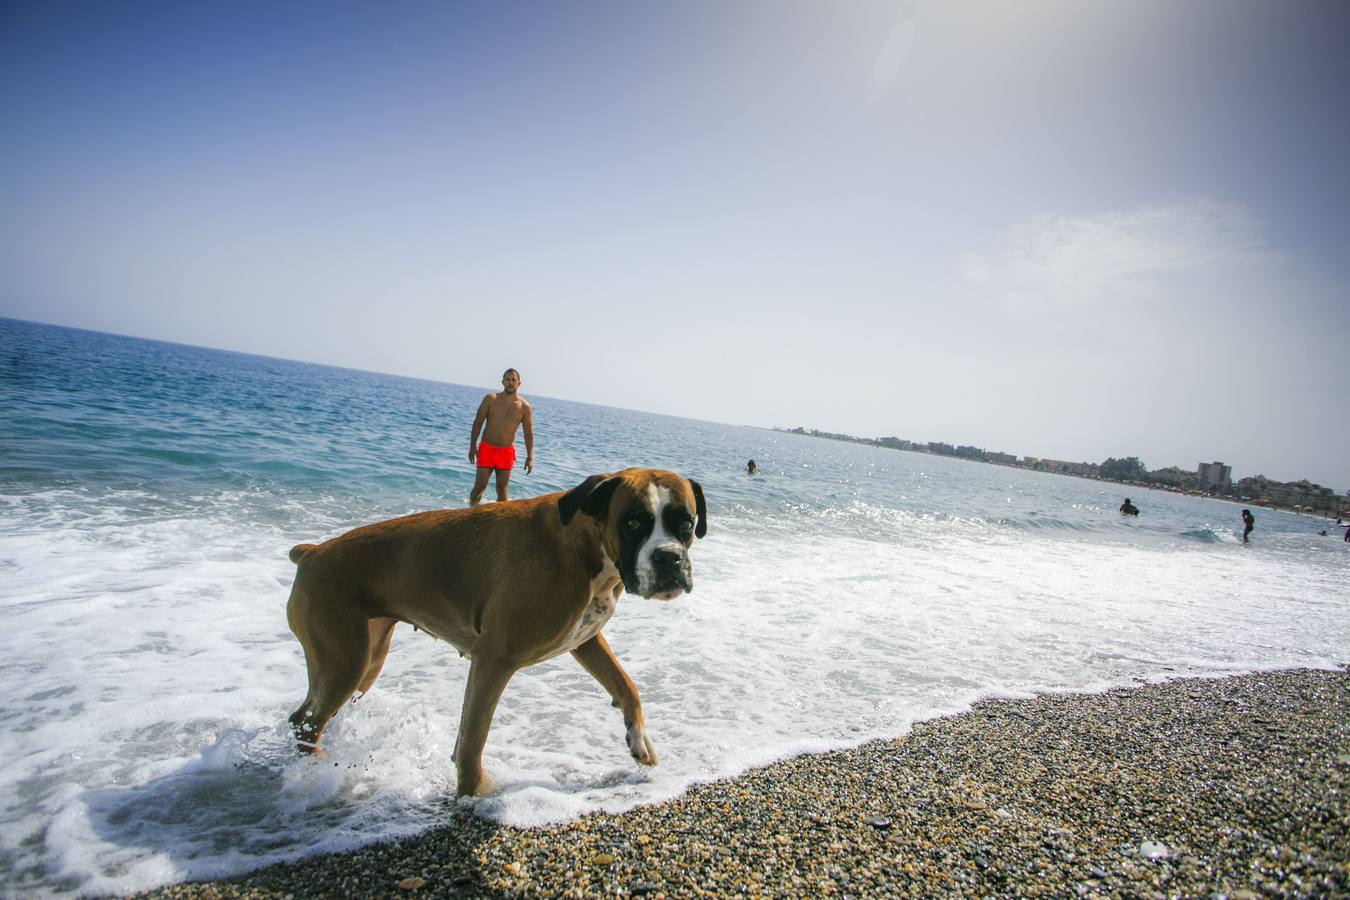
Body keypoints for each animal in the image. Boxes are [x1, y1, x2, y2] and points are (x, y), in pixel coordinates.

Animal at [283, 469, 707, 798]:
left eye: (686, 523)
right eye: (634, 522)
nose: (669, 557)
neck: (588, 545)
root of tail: (312, 552)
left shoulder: (585, 641)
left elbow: (626, 685)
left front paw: (640, 742)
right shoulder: (493, 661)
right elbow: (473, 738)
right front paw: (473, 795)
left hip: (363, 661)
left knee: (302, 716)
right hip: (346, 662)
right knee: (310, 723)